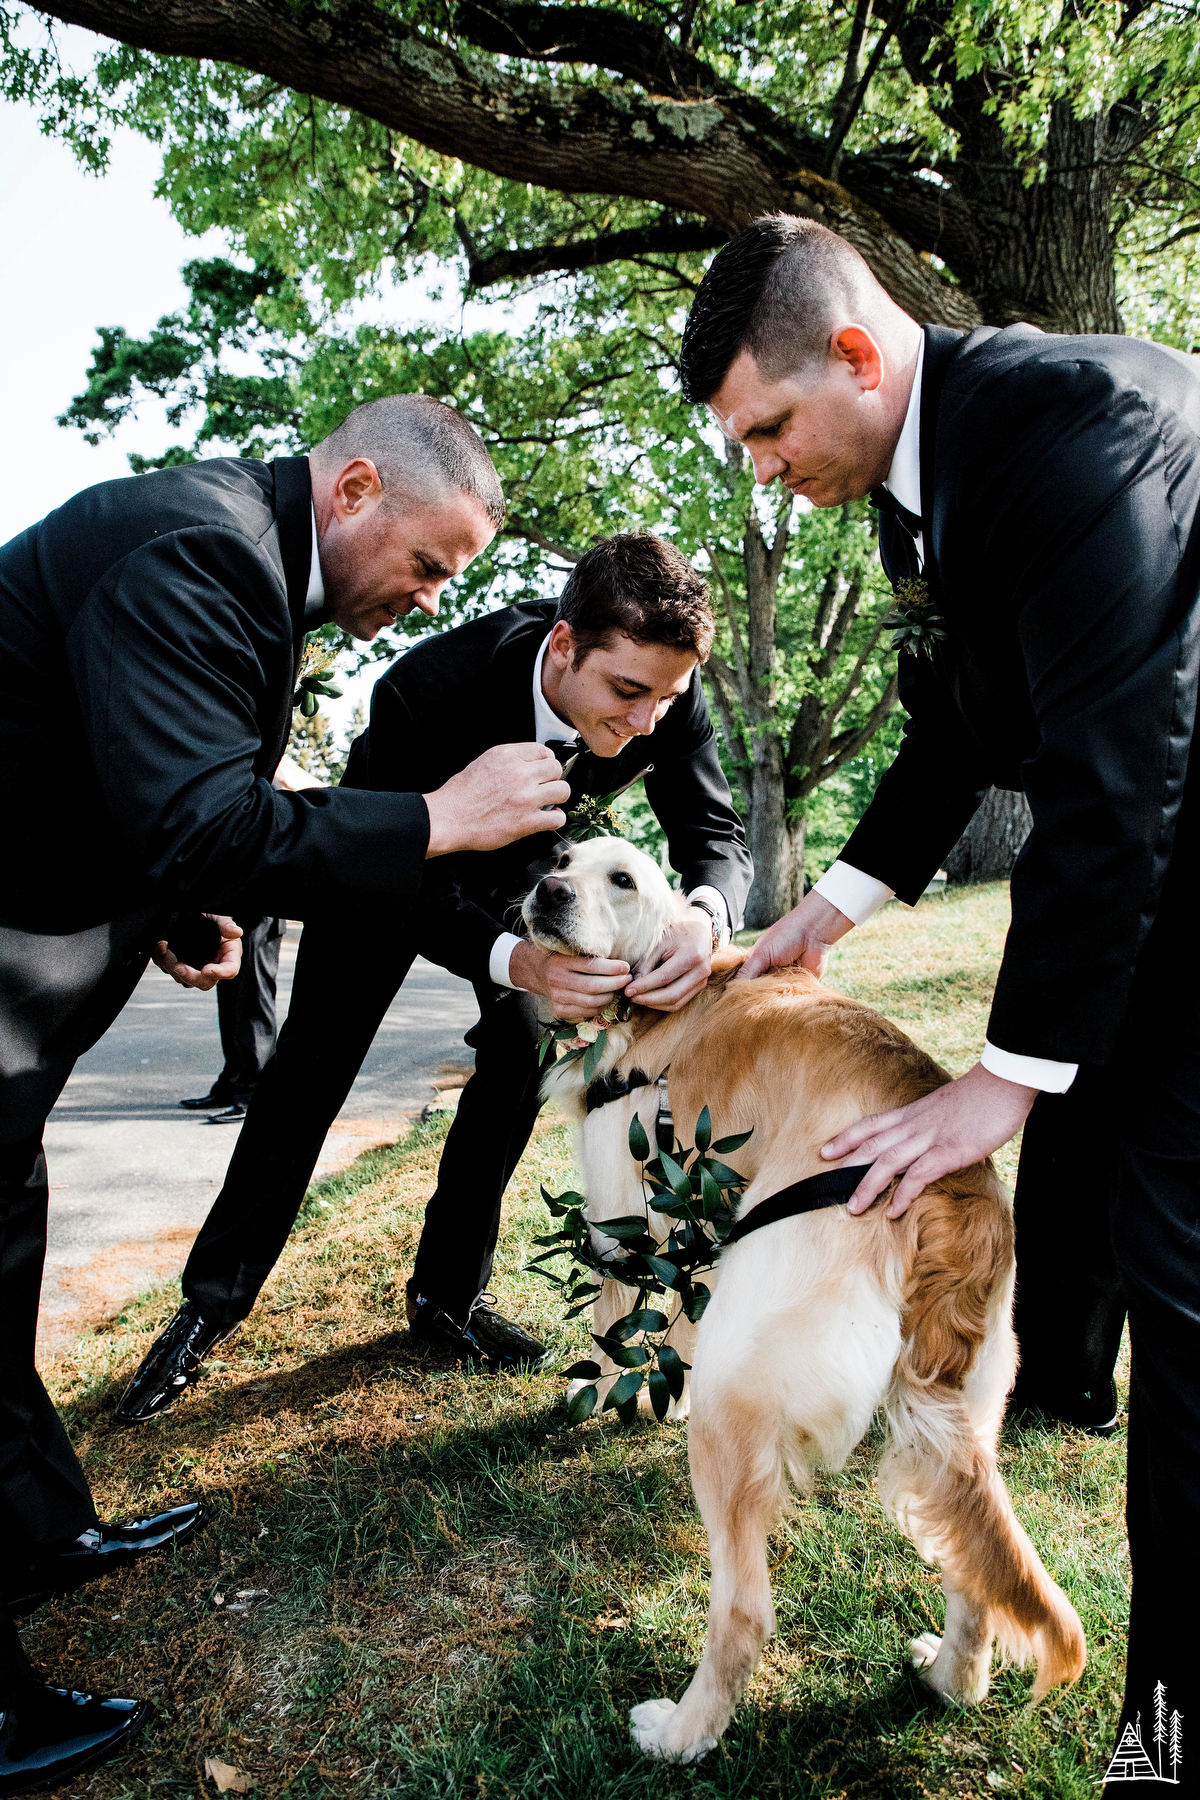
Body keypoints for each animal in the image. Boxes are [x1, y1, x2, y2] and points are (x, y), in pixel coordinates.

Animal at [525, 835, 1086, 1764]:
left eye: (622, 881)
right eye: (564, 856)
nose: (545, 890)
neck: (666, 997)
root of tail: (948, 1202)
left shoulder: (622, 1203)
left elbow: (617, 1321)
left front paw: (606, 1397)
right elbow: (678, 1313)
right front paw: (654, 1394)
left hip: (741, 1395)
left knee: (745, 1612)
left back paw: (679, 1734)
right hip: (968, 1412)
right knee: (972, 1574)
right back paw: (948, 1681)